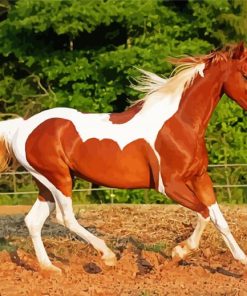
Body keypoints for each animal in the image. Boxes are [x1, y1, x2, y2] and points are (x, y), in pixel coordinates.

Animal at [0, 42, 247, 272]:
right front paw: (179, 251)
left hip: (47, 184)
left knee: (33, 221)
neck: (179, 124)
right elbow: (204, 213)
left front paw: (242, 262)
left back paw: (50, 268)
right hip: (58, 179)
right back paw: (107, 255)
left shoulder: (200, 178)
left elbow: (219, 219)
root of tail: (22, 126)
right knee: (65, 218)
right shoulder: (169, 185)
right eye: (244, 73)